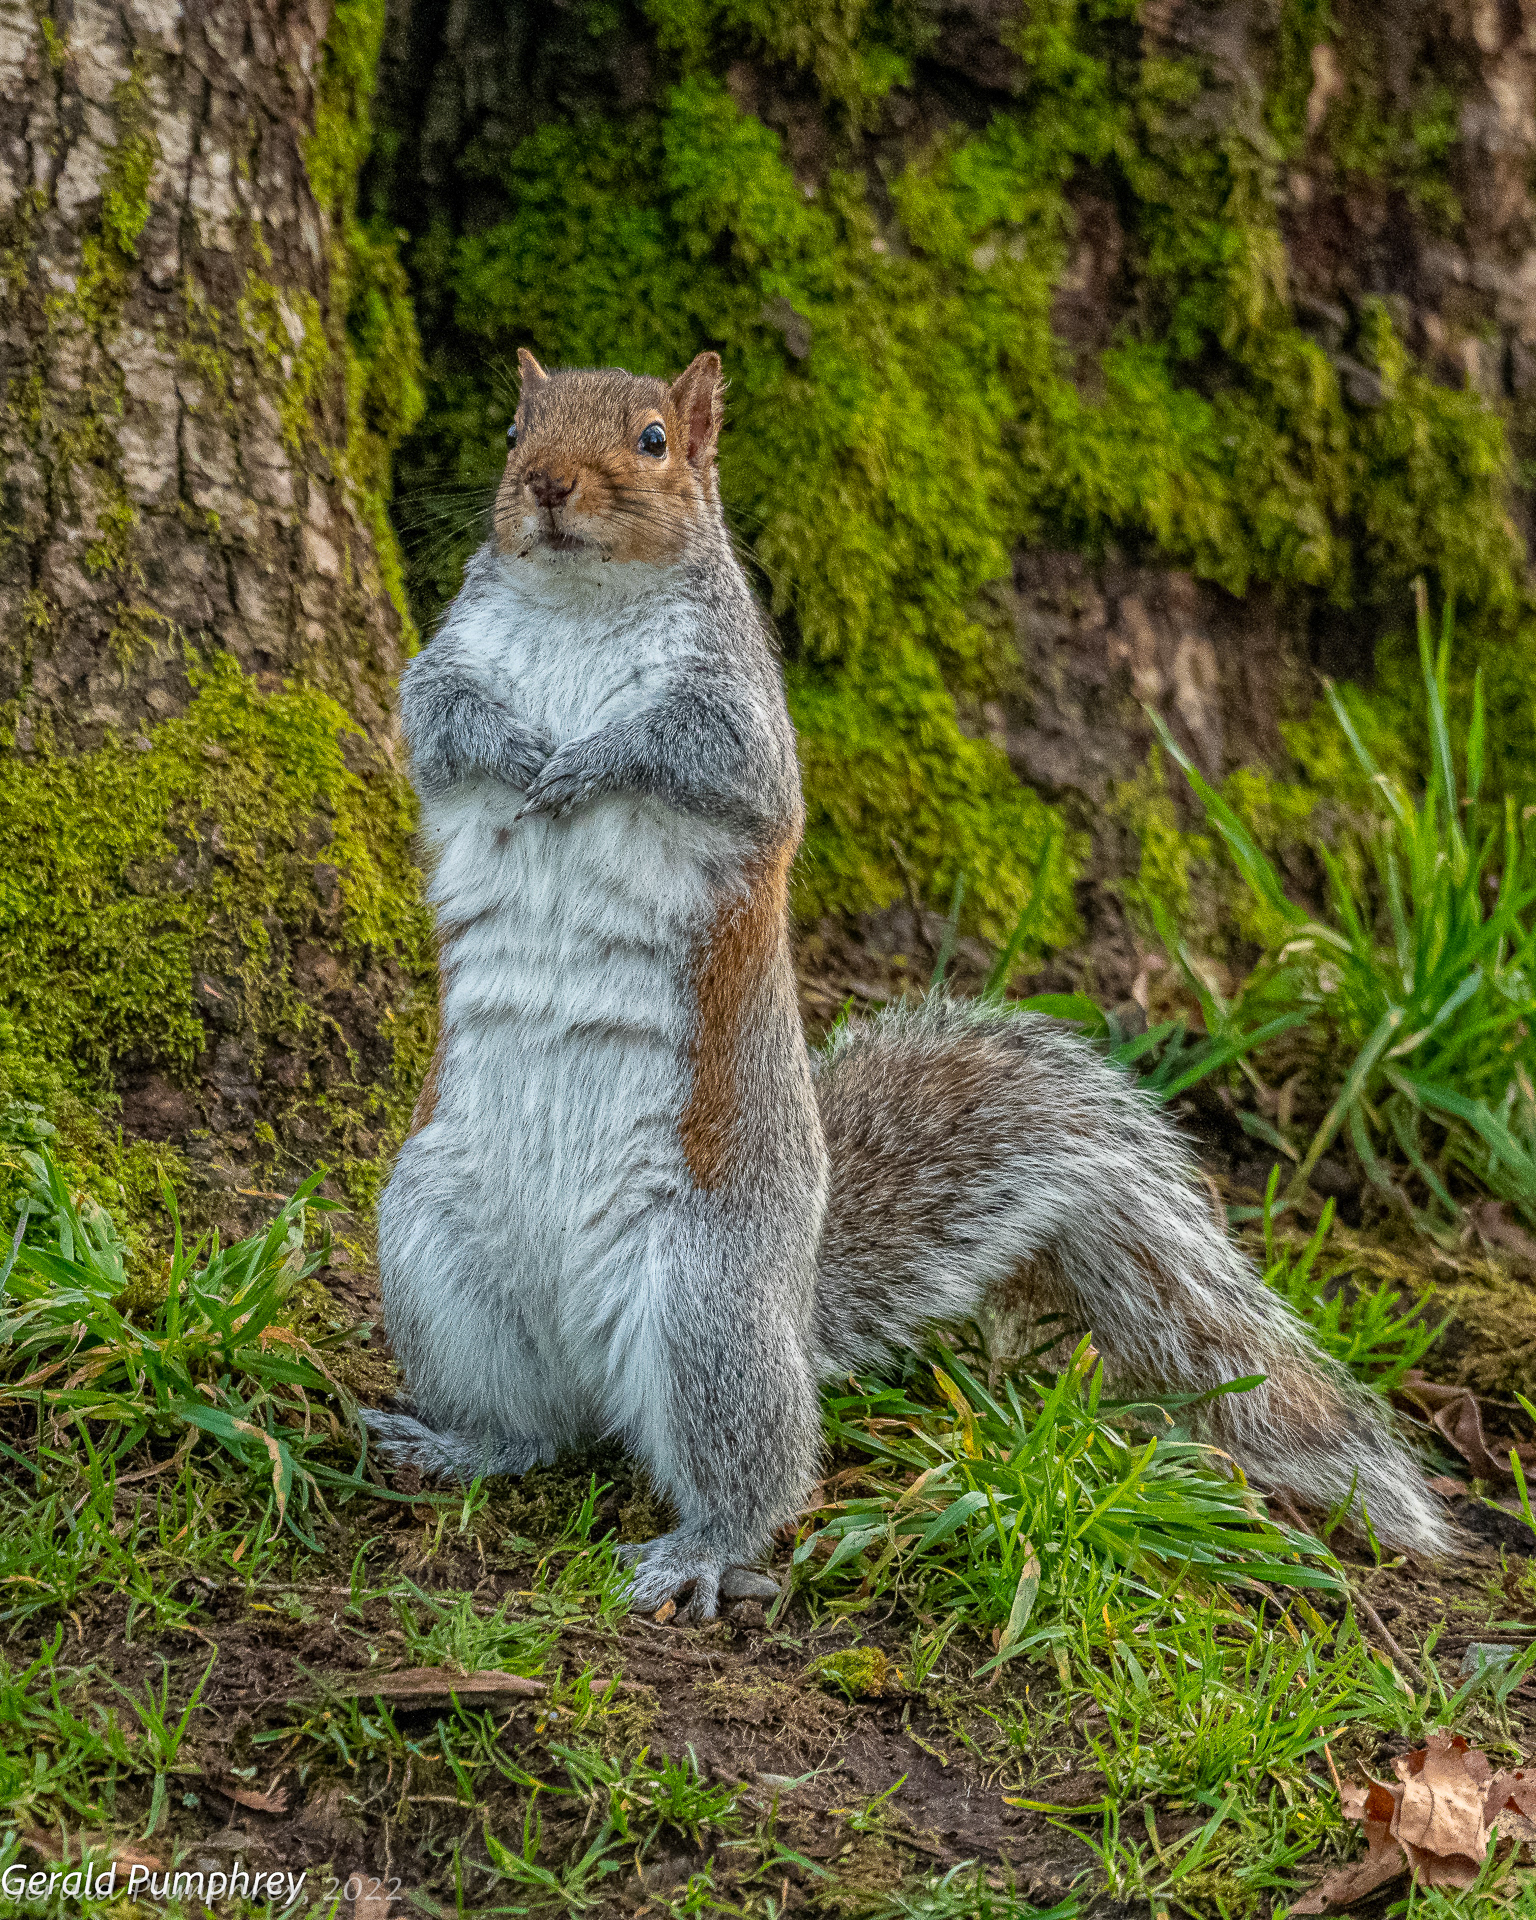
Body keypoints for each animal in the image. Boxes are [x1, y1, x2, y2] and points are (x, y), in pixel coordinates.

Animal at [363, 348, 1449, 1619]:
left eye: (653, 440)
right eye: (513, 428)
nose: (543, 484)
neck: (583, 603)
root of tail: (789, 1305)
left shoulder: (739, 718)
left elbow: (700, 759)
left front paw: (585, 760)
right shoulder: (446, 667)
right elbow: (437, 720)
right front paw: (519, 749)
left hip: (707, 1306)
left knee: (757, 1475)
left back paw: (702, 1551)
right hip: (430, 1248)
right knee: (531, 1429)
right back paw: (456, 1443)